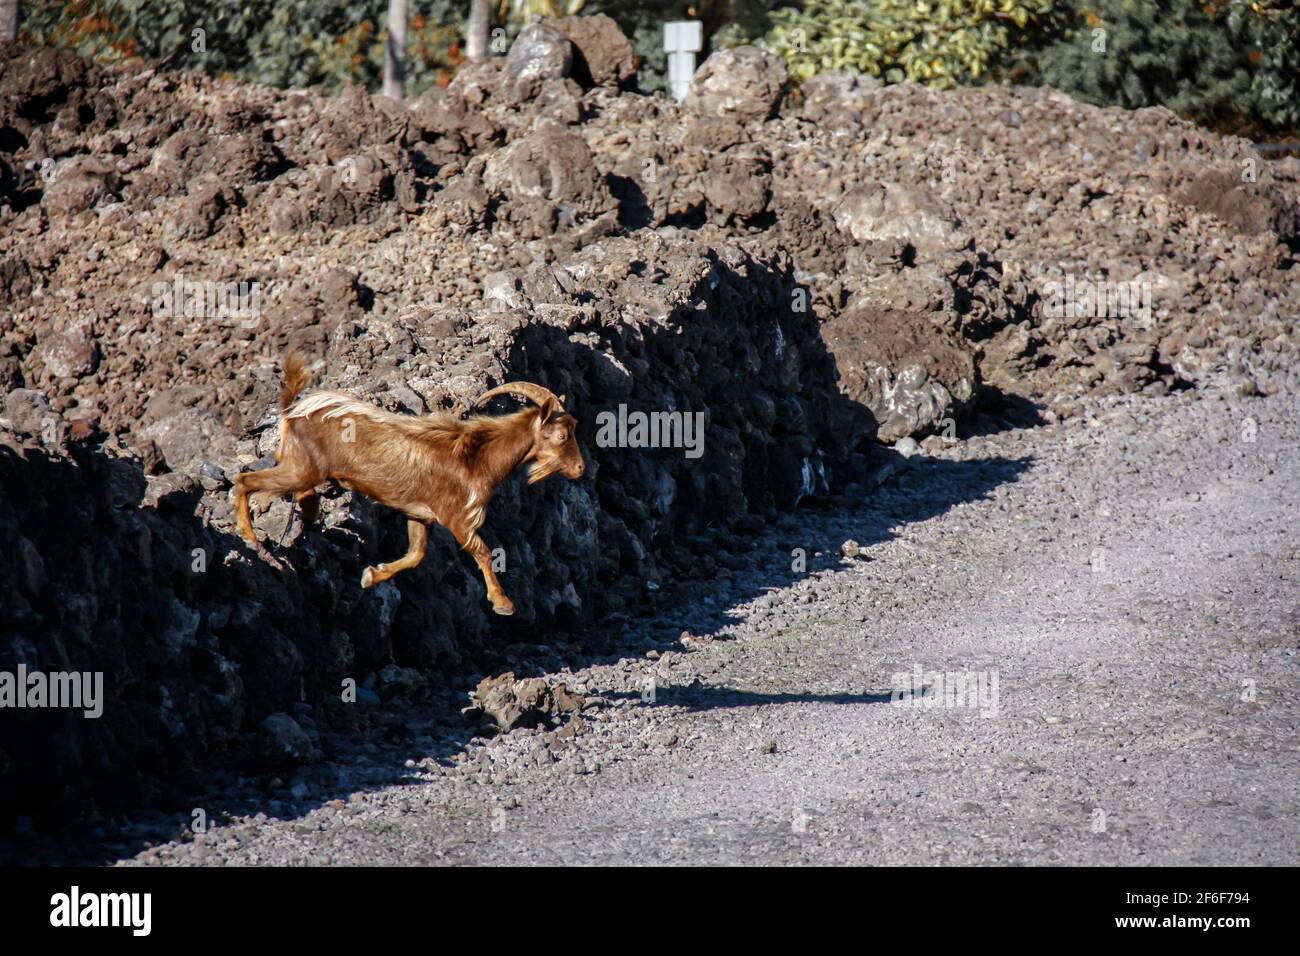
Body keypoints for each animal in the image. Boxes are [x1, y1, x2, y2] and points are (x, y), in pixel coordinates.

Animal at [233, 352, 585, 615]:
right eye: (562, 435)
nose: (580, 468)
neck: (478, 458)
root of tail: (292, 410)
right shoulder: (457, 516)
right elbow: (483, 552)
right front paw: (503, 603)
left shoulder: (420, 514)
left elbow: (416, 554)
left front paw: (371, 576)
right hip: (300, 468)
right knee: (244, 479)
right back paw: (250, 535)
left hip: (304, 469)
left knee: (295, 492)